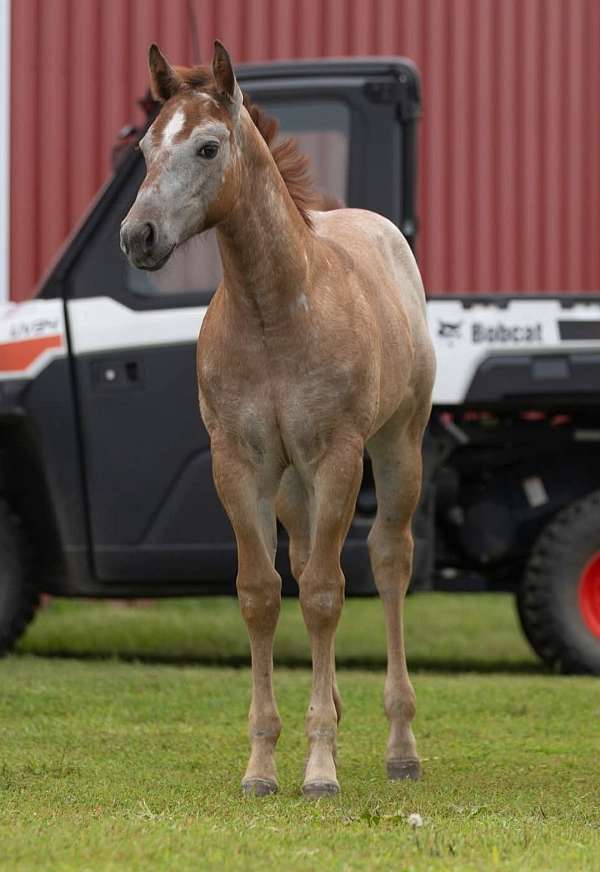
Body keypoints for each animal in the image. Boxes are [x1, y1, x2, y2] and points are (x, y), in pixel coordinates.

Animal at [121, 41, 436, 799]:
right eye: (145, 147)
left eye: (207, 147)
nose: (137, 236)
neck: (272, 314)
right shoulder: (240, 463)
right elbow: (261, 592)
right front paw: (263, 766)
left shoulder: (338, 456)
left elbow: (323, 593)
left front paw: (319, 770)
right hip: (294, 485)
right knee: (299, 557)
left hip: (398, 448)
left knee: (388, 561)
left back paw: (400, 747)